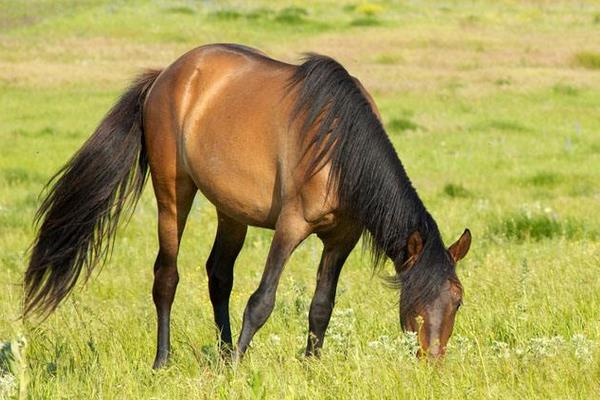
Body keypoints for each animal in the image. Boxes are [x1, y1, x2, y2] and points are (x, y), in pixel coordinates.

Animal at [23, 43, 472, 368]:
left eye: (457, 300)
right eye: (415, 298)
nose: (433, 362)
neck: (339, 148)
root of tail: (165, 75)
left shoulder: (340, 238)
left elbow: (322, 305)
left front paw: (310, 365)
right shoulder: (291, 226)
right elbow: (262, 301)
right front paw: (239, 365)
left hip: (231, 211)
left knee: (219, 276)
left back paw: (221, 352)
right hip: (173, 194)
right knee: (166, 277)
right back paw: (164, 361)